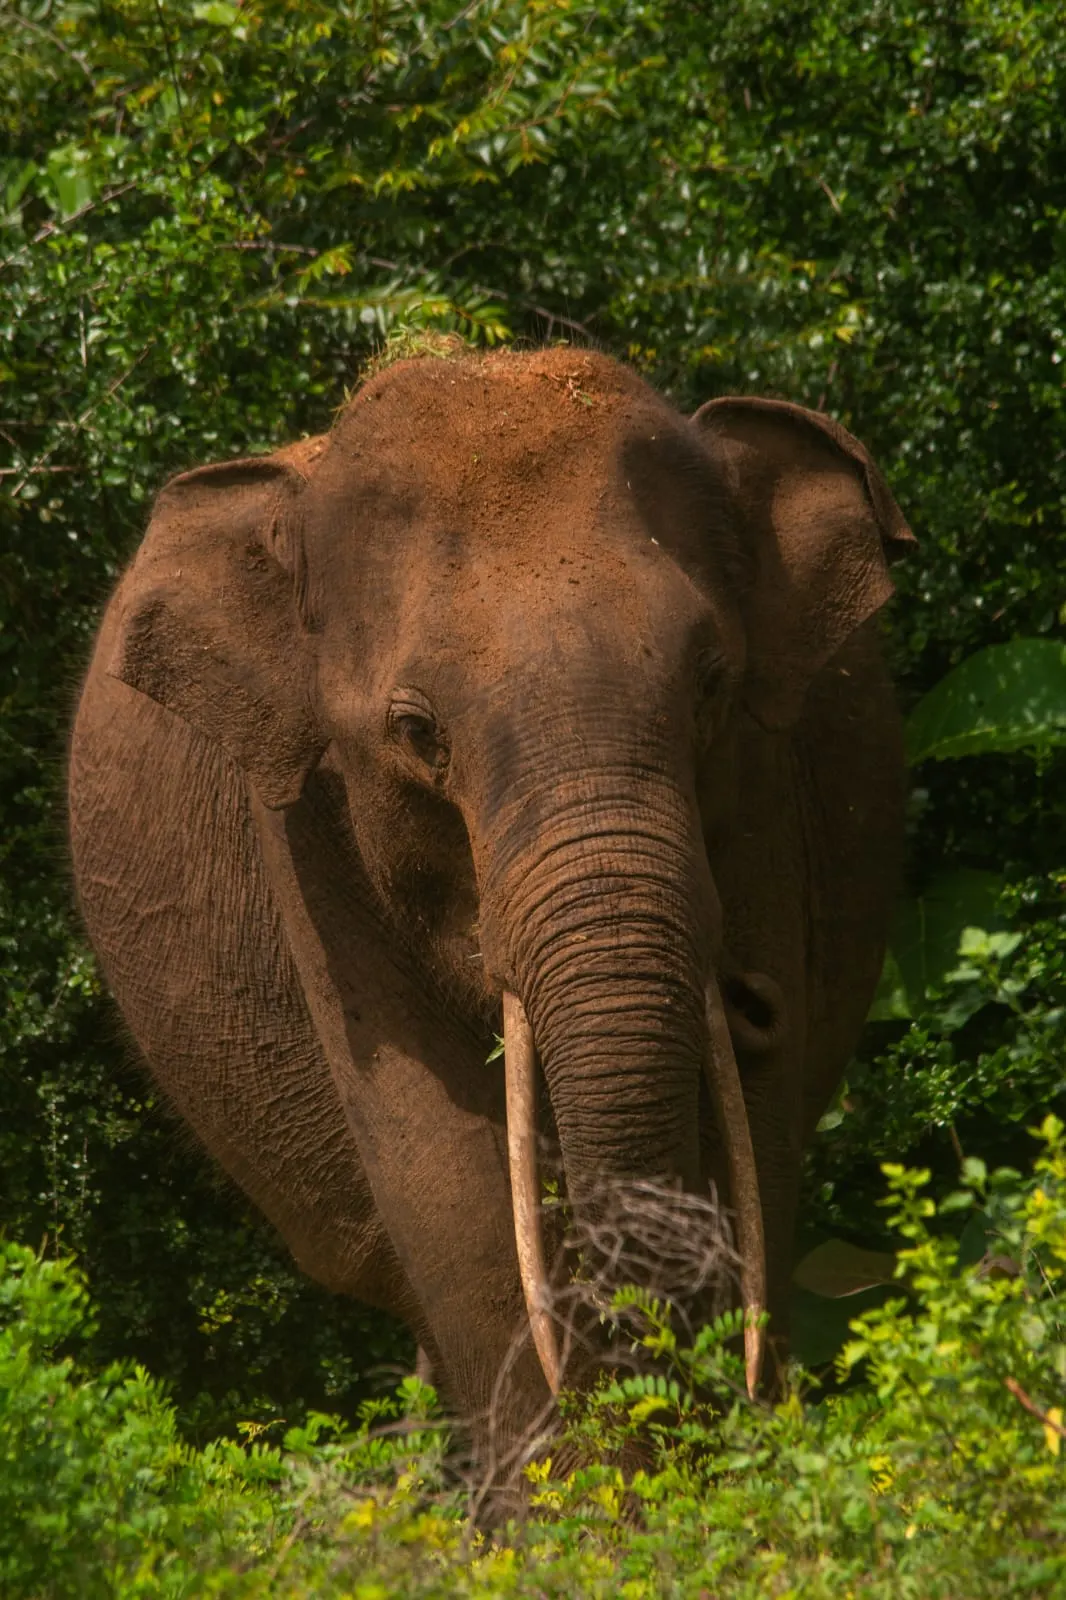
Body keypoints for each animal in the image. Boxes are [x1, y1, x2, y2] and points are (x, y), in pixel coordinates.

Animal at [68, 345, 912, 1484]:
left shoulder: (768, 800)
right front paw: (573, 1503)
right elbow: (447, 1167)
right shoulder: (308, 840)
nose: (757, 1004)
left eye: (711, 684)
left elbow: (757, 1137)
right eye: (416, 731)